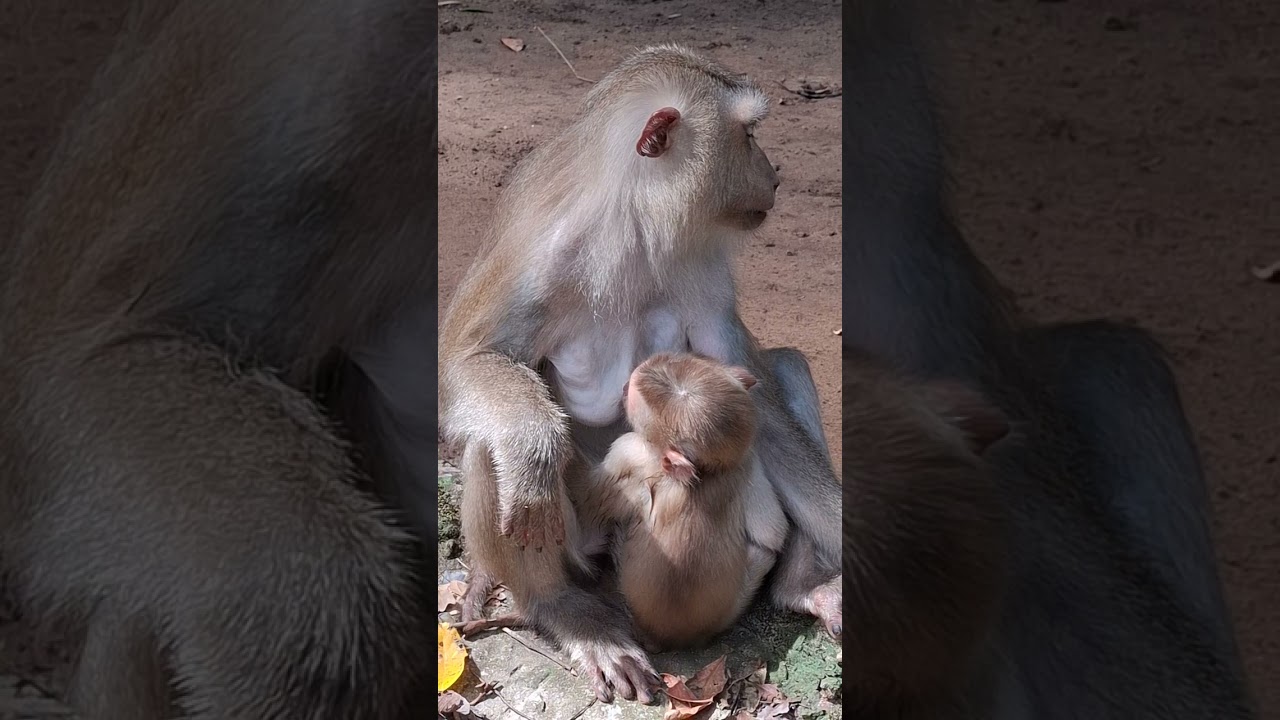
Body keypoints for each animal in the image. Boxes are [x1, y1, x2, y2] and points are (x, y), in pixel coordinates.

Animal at [569, 352, 789, 653]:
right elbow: (772, 538)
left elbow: (588, 510)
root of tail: (670, 639)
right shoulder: (748, 464)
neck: (704, 474)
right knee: (762, 553)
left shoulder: (628, 449)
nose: (624, 387)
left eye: (632, 395)